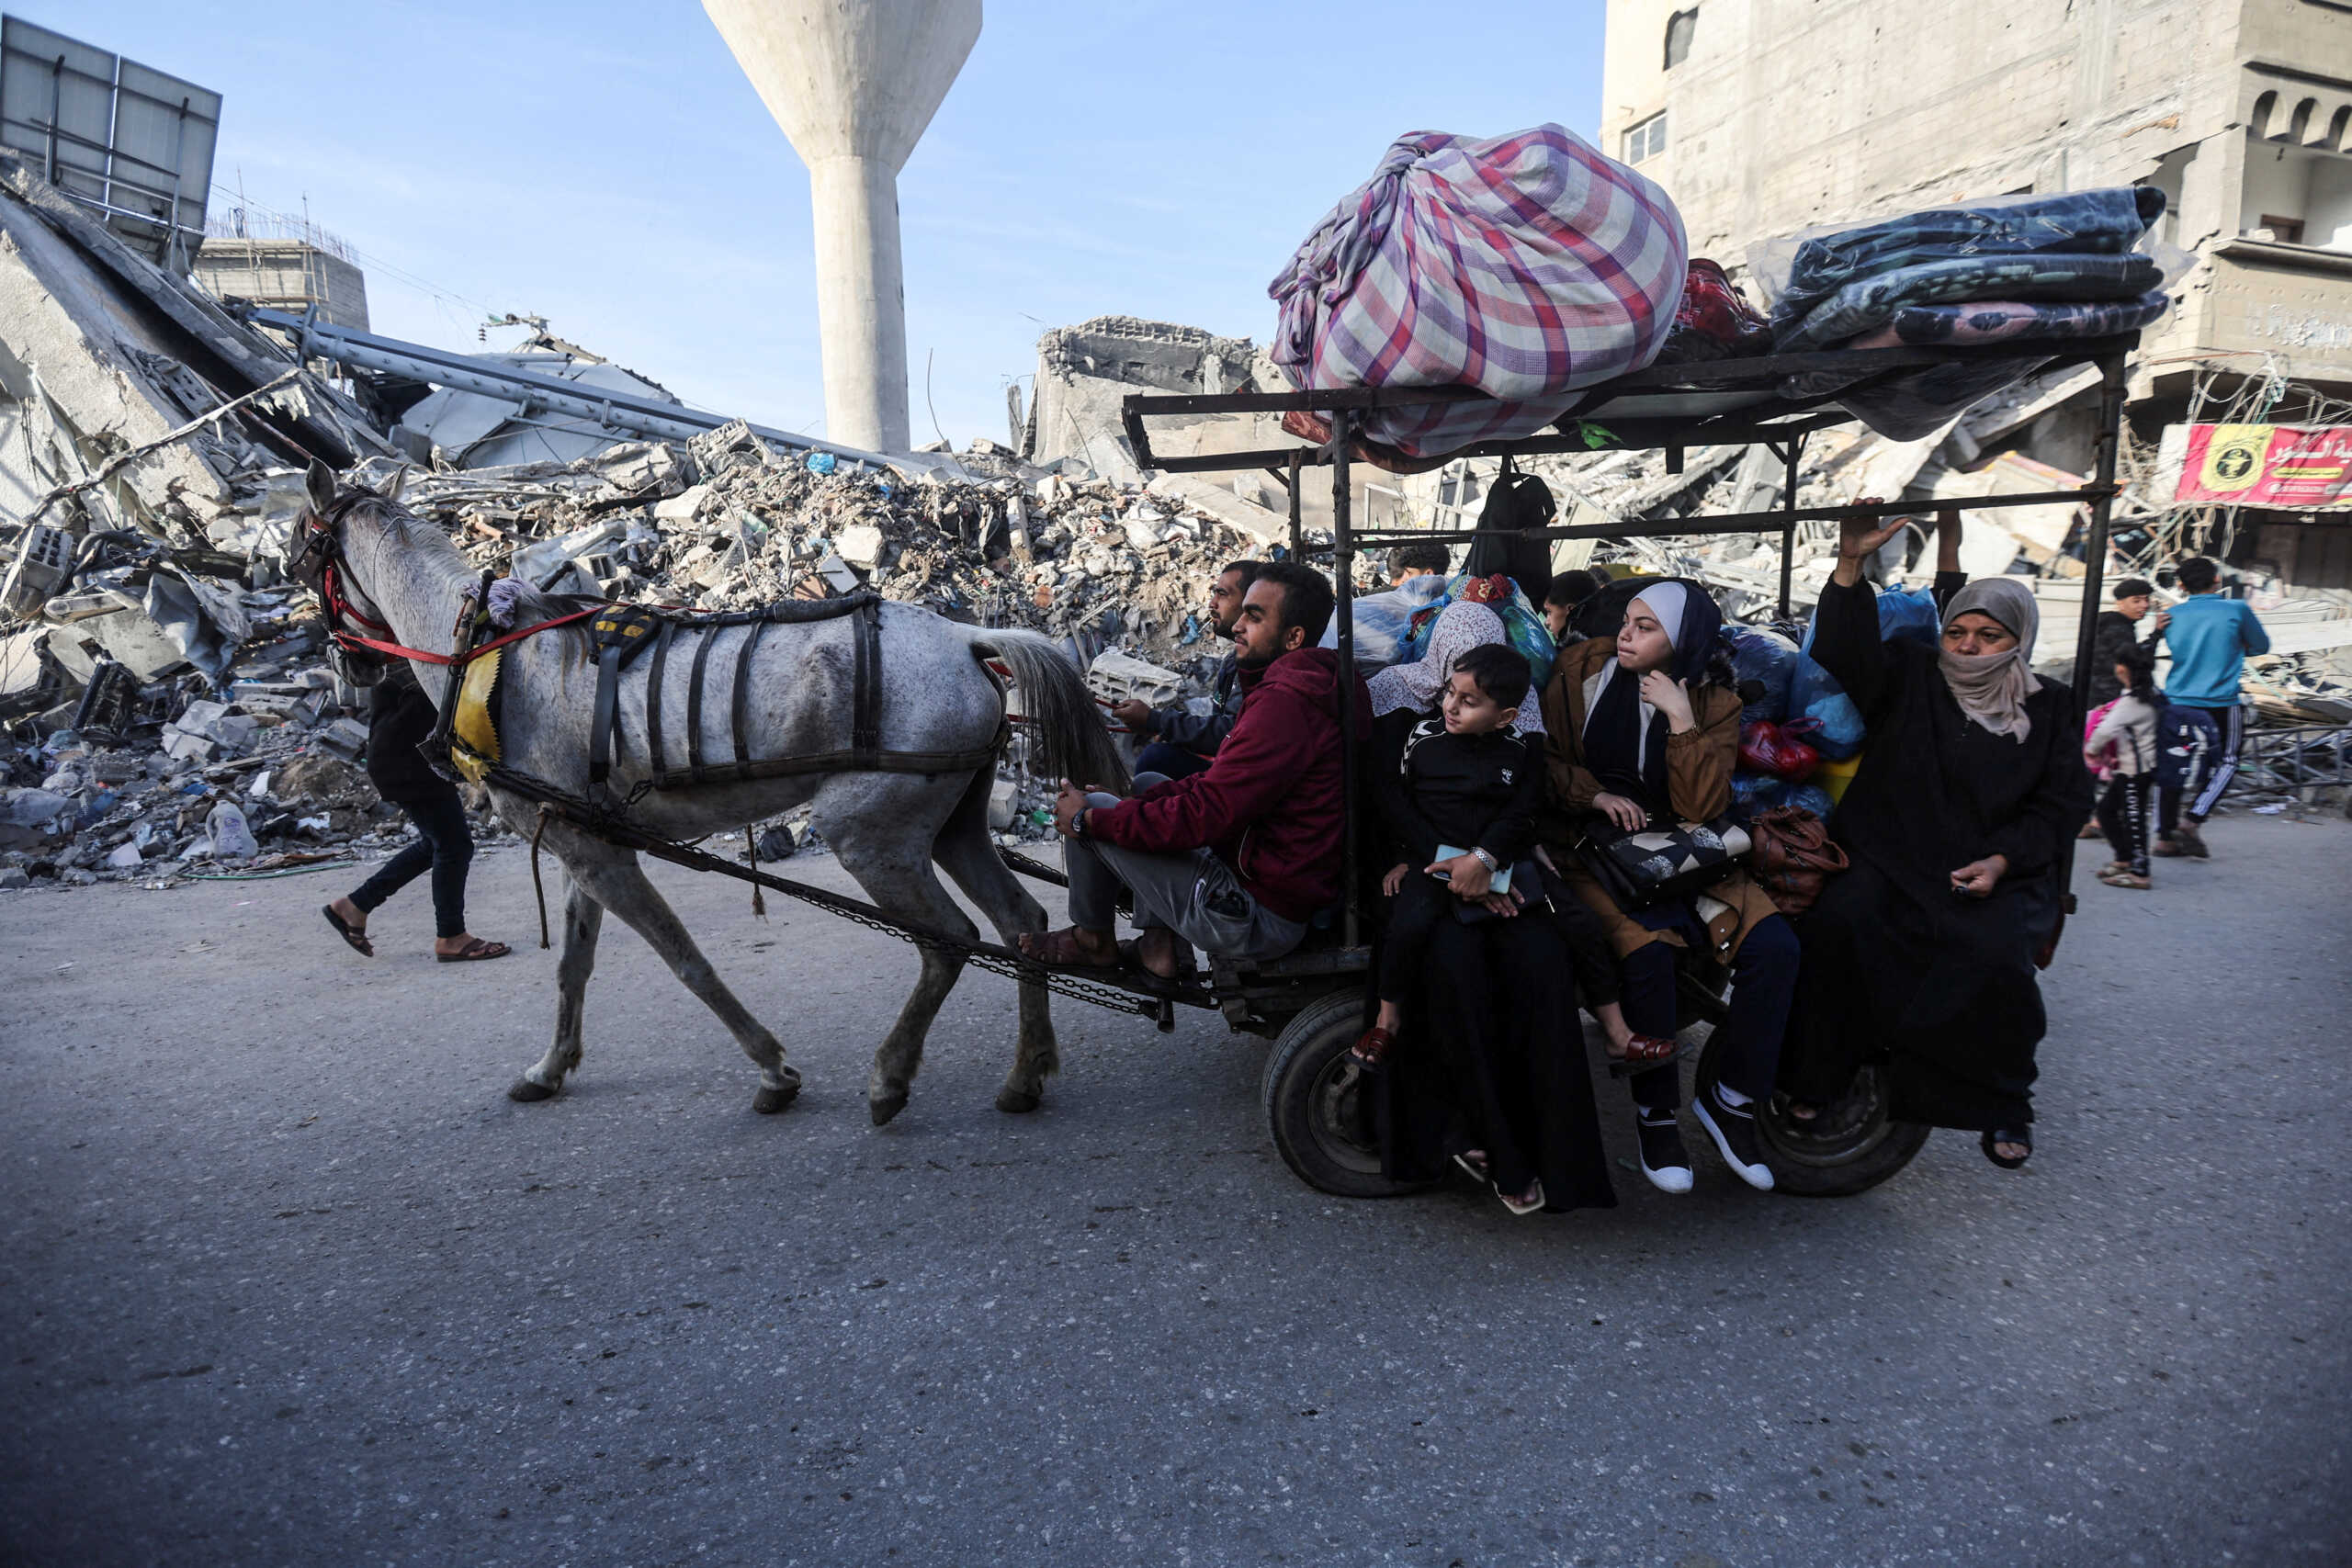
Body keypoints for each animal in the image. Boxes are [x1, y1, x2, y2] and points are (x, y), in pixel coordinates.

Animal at [296, 463, 1128, 1128]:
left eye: (308, 553)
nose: (349, 668)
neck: (488, 655)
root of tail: (968, 641)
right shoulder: (581, 844)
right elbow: (573, 966)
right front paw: (551, 1066)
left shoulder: (600, 855)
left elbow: (685, 959)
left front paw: (773, 1068)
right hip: (952, 824)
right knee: (1021, 922)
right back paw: (1025, 1074)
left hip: (870, 834)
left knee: (948, 940)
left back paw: (892, 1076)